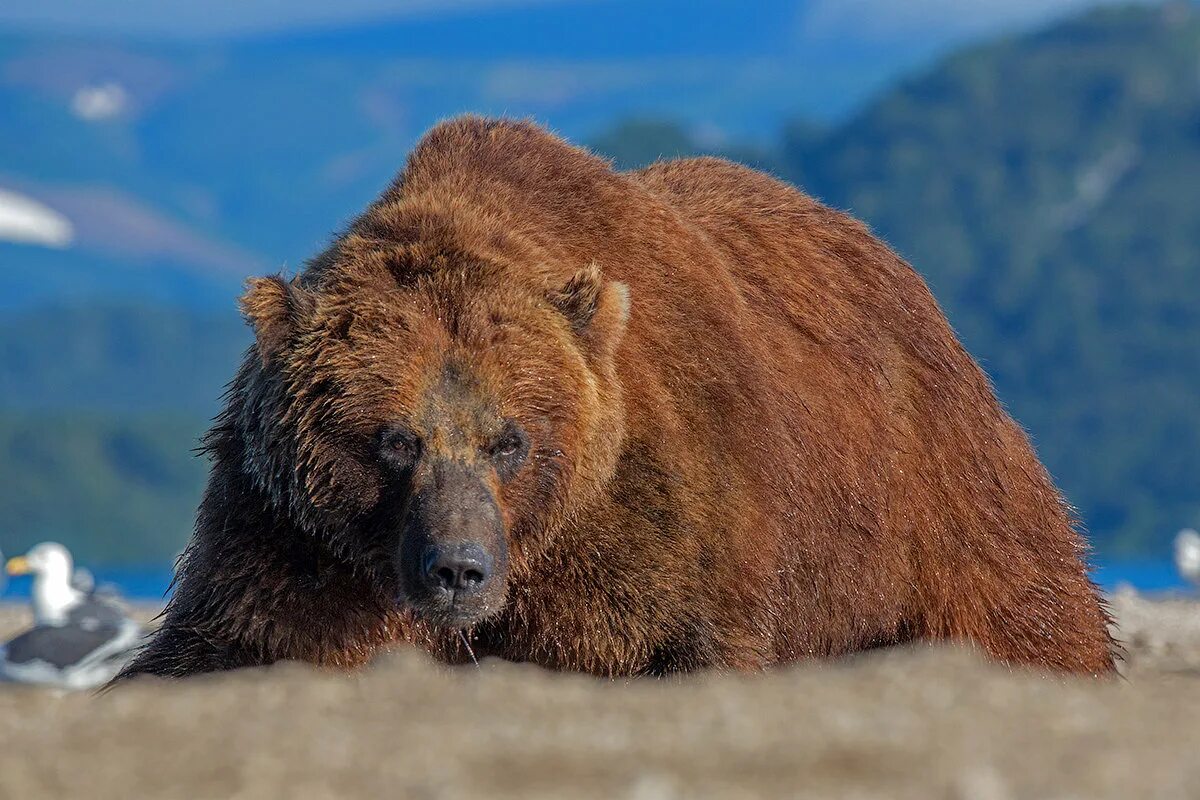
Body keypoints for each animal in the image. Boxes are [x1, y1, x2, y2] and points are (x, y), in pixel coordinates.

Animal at [119, 115, 1113, 681]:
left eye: (510, 440)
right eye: (392, 439)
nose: (457, 569)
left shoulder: (650, 514)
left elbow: (670, 642)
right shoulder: (292, 540)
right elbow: (235, 644)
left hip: (933, 502)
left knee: (1028, 616)